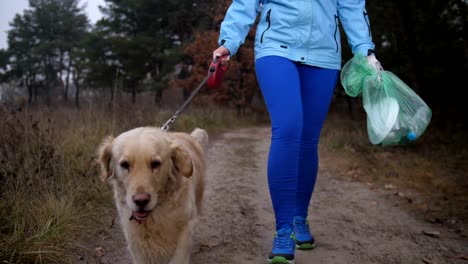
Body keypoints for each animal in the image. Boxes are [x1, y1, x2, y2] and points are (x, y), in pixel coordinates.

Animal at [97, 127, 208, 262]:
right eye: (124, 164)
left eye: (155, 163)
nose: (141, 201)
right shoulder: (133, 237)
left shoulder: (187, 226)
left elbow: (179, 256)